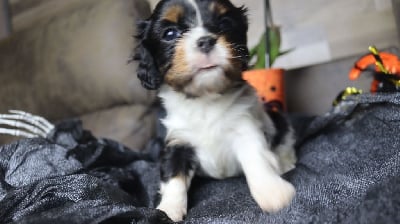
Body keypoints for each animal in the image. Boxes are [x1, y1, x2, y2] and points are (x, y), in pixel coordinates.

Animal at [136, 0, 296, 220]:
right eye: (169, 34)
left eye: (225, 22)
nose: (205, 41)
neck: (205, 98)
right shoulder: (178, 141)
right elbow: (173, 177)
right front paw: (168, 210)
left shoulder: (245, 128)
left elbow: (257, 158)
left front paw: (272, 192)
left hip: (278, 118)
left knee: (286, 142)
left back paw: (286, 163)